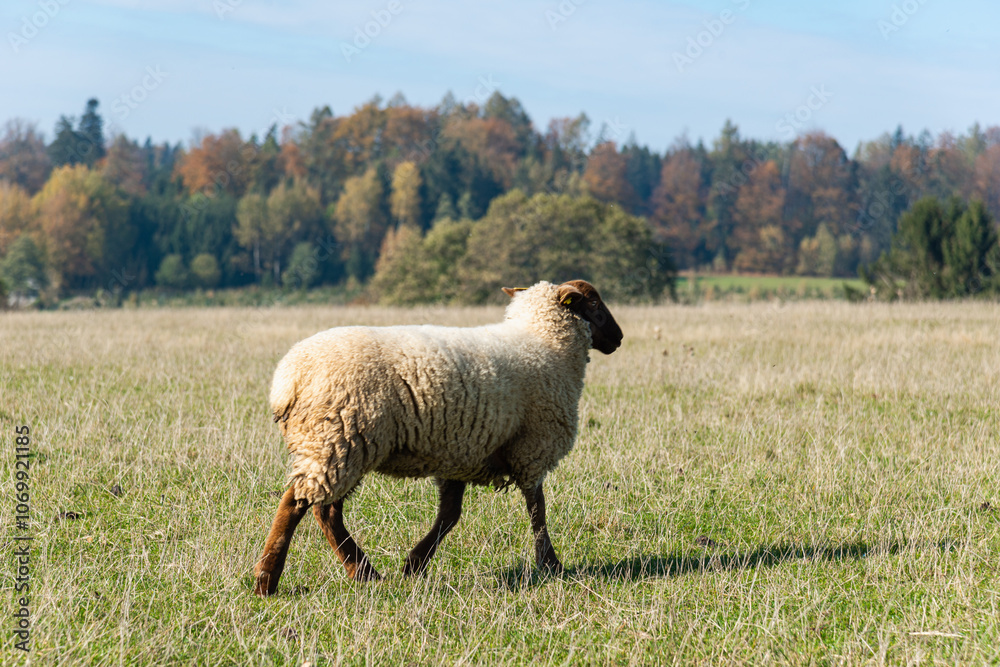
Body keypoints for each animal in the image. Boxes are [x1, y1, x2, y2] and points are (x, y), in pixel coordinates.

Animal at [253, 279, 623, 595]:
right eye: (593, 302)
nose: (618, 338)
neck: (543, 341)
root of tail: (288, 379)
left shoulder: (461, 451)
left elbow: (449, 515)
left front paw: (414, 564)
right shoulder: (531, 447)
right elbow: (537, 510)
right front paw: (550, 563)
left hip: (336, 444)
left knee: (326, 511)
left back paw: (363, 572)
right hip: (339, 439)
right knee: (297, 504)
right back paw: (268, 579)